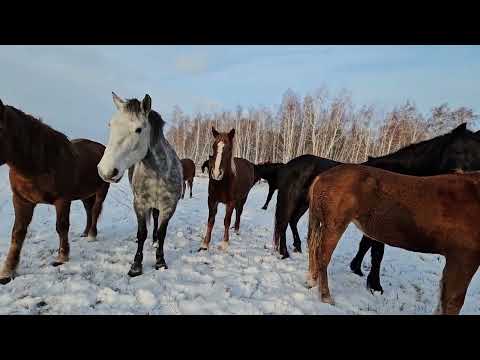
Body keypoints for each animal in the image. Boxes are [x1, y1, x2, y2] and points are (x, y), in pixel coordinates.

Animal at [0, 98, 109, 284]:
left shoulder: (62, 200)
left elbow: (61, 226)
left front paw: (62, 257)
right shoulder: (22, 201)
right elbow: (18, 232)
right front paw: (8, 270)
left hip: (101, 191)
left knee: (95, 211)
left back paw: (92, 235)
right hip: (85, 194)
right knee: (89, 210)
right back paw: (85, 232)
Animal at [97, 92, 182, 276]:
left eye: (138, 129)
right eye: (110, 125)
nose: (105, 171)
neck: (158, 174)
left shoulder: (169, 206)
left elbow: (162, 232)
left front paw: (160, 262)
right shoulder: (140, 204)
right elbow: (142, 233)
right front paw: (136, 265)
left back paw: (155, 241)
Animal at [256, 123, 480, 292]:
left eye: (477, 154)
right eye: (458, 151)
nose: (468, 177)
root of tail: (288, 165)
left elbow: (365, 246)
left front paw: (357, 268)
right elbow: (377, 253)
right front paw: (375, 285)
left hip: (305, 205)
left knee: (291, 222)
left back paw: (297, 247)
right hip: (292, 200)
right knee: (283, 223)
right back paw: (284, 252)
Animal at [308, 165, 480, 314]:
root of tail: (322, 176)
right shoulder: (463, 258)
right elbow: (452, 301)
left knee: (313, 247)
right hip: (335, 225)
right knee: (322, 256)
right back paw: (325, 296)